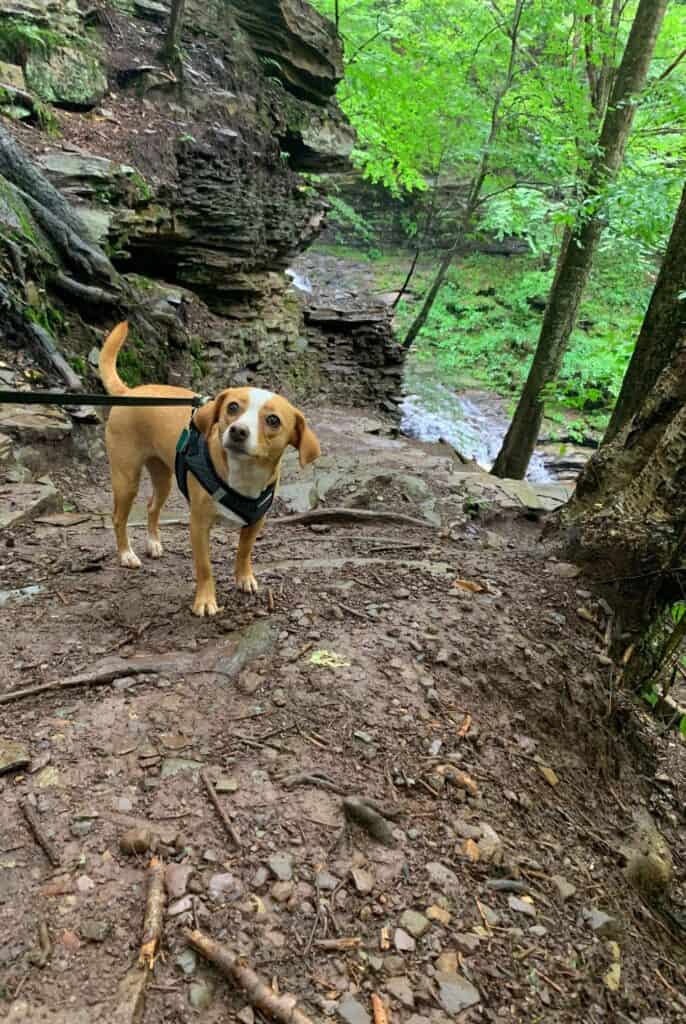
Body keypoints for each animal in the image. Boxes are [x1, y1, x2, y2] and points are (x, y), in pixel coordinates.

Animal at [100, 319, 323, 614]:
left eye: (273, 420)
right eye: (232, 407)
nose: (238, 431)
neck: (243, 475)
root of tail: (131, 392)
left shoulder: (256, 522)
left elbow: (244, 552)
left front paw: (244, 577)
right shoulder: (199, 525)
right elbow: (204, 567)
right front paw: (206, 601)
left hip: (163, 478)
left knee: (151, 507)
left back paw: (154, 543)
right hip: (126, 478)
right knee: (119, 518)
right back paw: (127, 555)